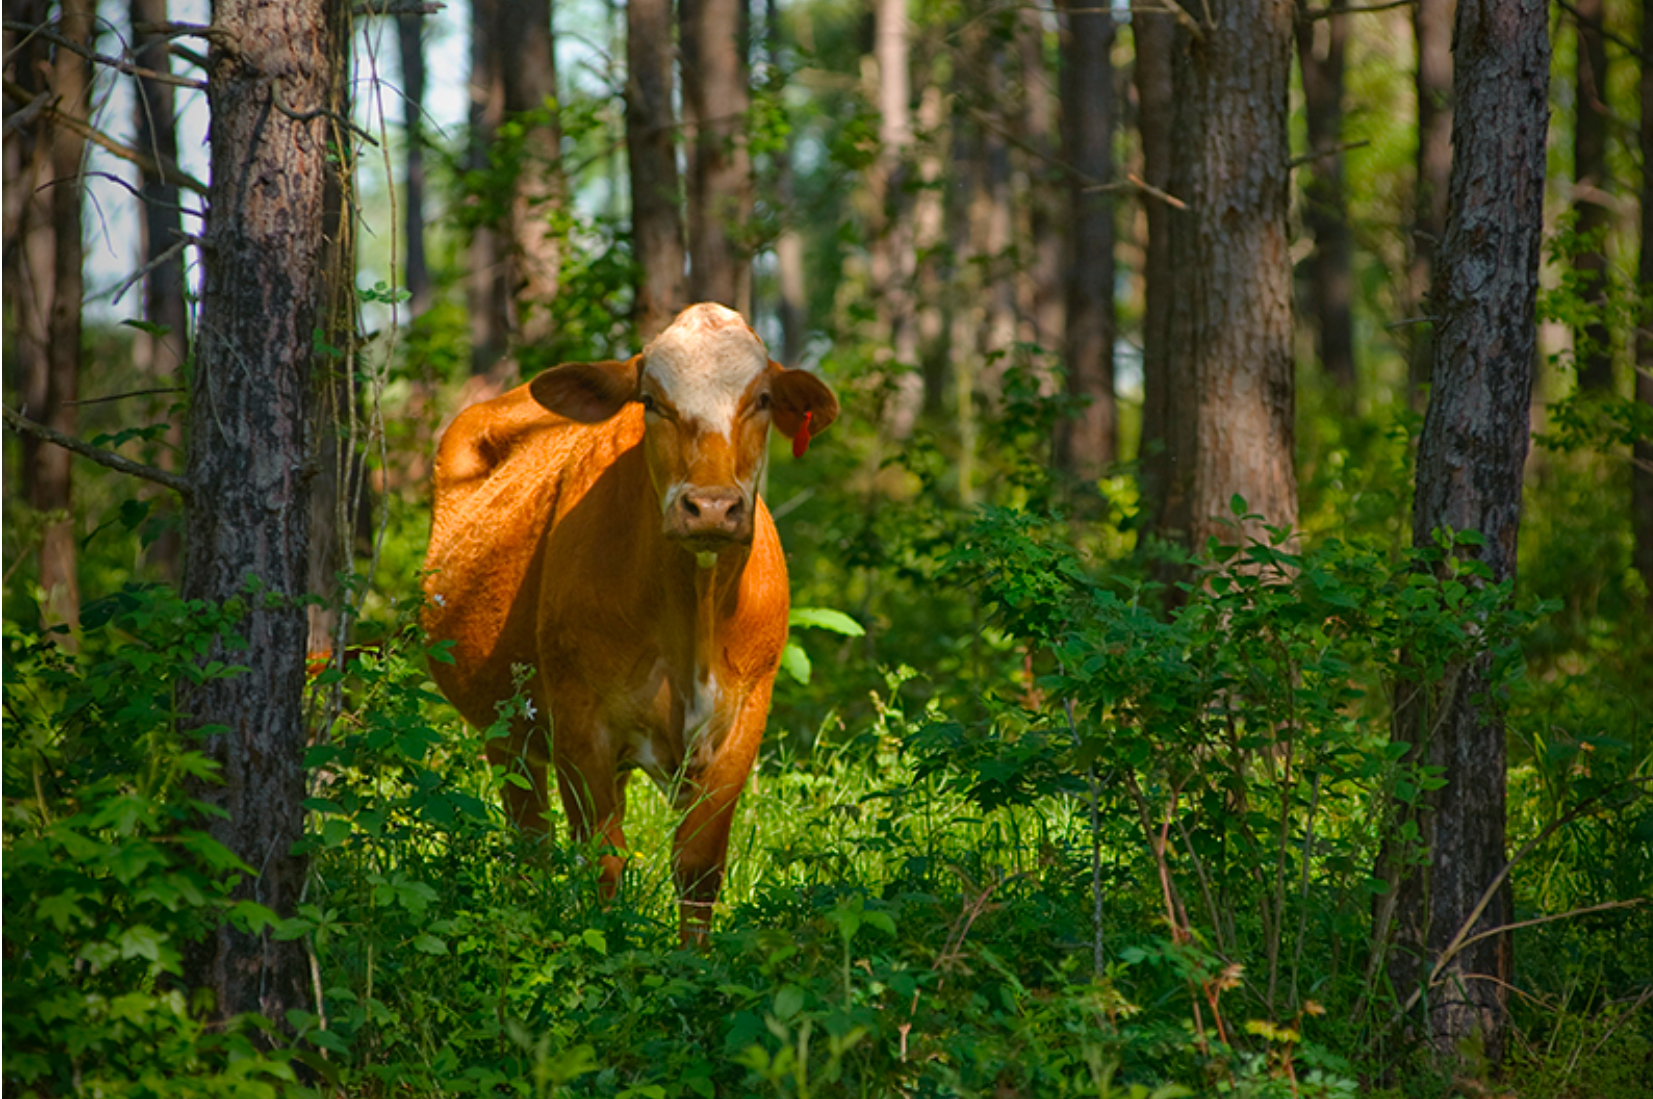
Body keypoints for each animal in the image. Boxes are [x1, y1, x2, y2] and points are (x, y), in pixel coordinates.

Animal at [422, 303, 838, 943]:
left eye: (763, 398)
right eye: (651, 401)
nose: (711, 507)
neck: (691, 615)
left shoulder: (746, 716)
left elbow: (698, 864)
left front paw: (695, 958)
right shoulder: (579, 718)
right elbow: (602, 858)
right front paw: (606, 947)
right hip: (506, 729)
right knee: (532, 841)